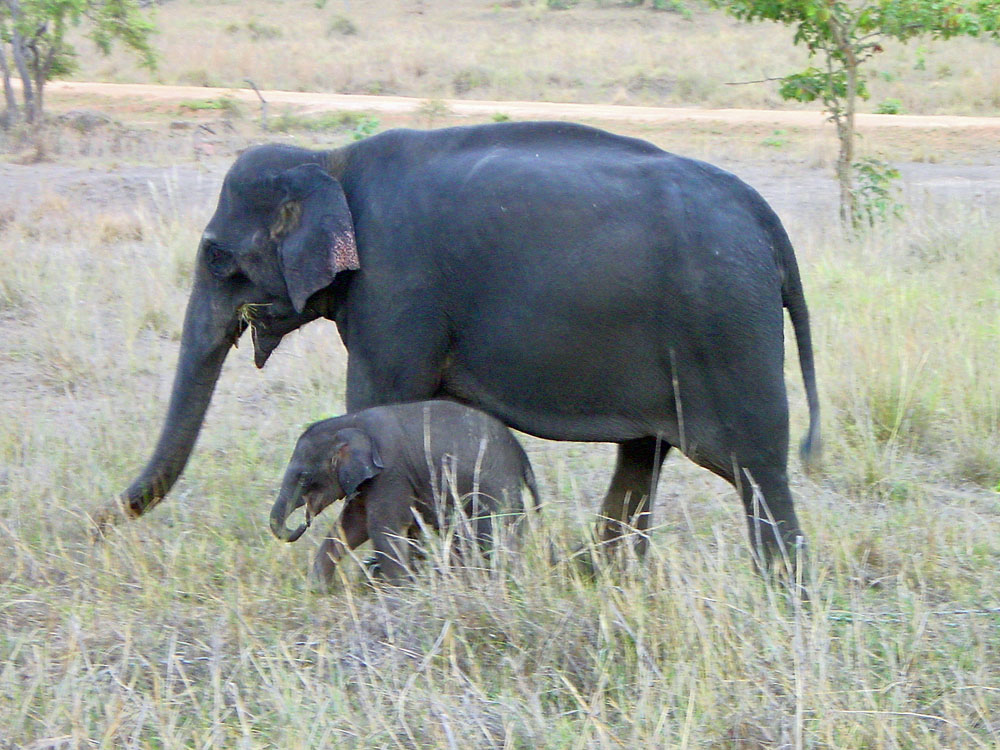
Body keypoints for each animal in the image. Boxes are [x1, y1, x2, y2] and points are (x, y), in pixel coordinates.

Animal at [270, 400, 540, 588]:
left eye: (303, 477)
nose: (303, 522)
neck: (349, 423)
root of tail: (522, 456)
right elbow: (351, 526)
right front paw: (317, 589)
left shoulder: (390, 471)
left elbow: (383, 528)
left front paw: (400, 595)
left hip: (495, 486)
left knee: (493, 533)